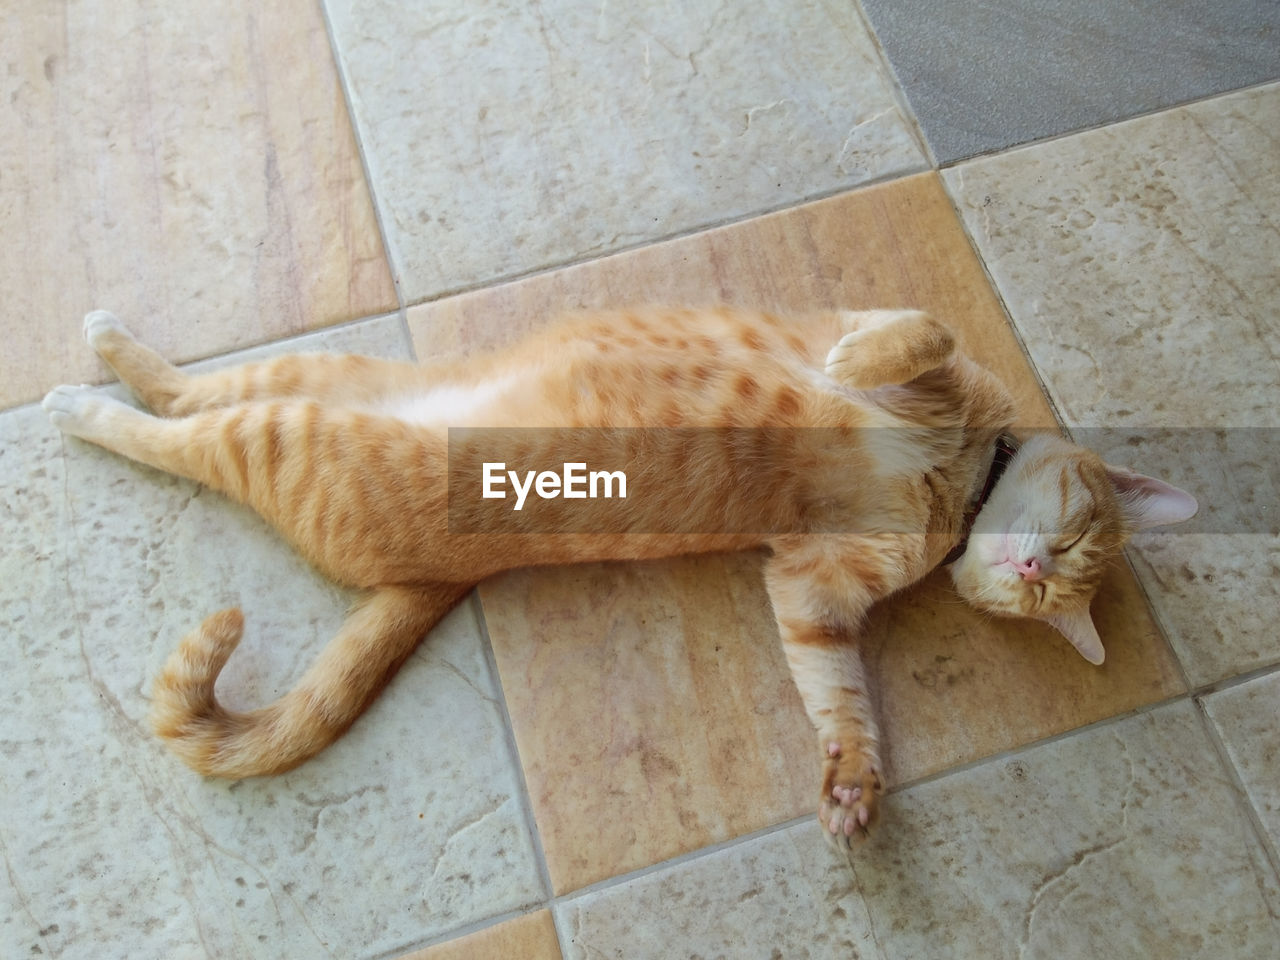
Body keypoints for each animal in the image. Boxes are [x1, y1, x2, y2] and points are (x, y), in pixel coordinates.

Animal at [42, 308, 1198, 849]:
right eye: (1078, 540)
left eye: (1052, 594)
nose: (1033, 565)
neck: (956, 492)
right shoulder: (902, 353)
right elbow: (913, 331)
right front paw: (861, 359)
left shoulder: (814, 593)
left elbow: (840, 700)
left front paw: (852, 784)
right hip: (309, 387)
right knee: (182, 399)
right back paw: (91, 373)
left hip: (289, 422)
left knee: (182, 420)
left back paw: (85, 396)